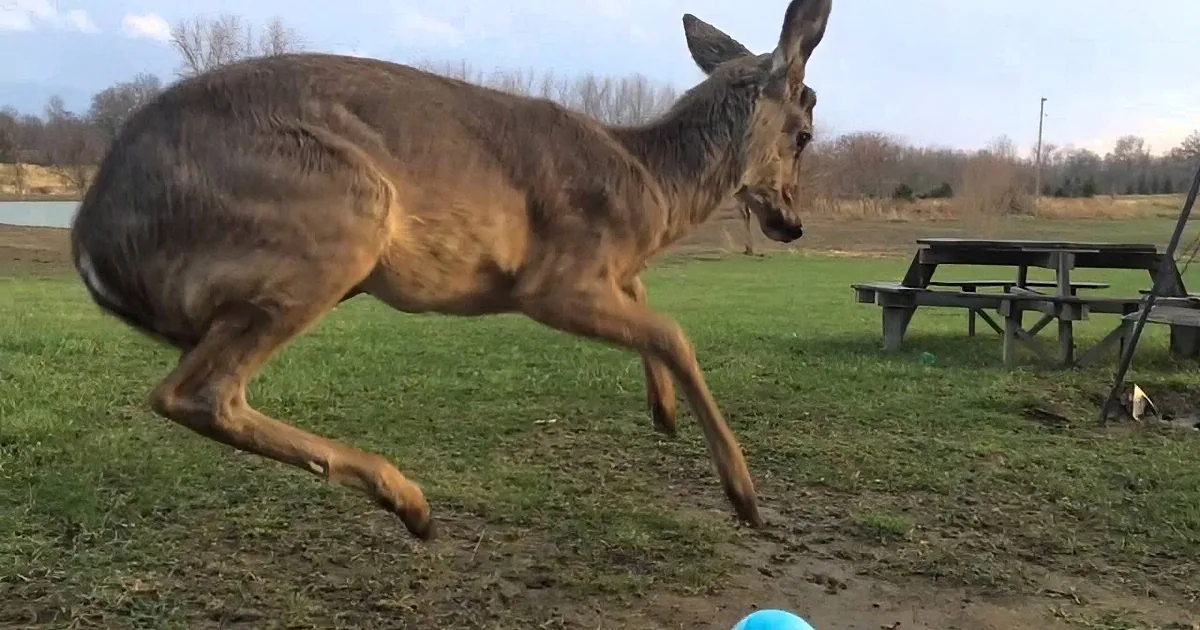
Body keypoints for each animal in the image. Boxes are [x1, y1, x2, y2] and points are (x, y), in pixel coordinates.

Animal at [69, 0, 832, 541]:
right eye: (804, 132)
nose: (791, 224)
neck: (653, 186)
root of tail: (89, 241)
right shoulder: (549, 277)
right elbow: (672, 330)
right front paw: (746, 497)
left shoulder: (599, 270)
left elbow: (647, 301)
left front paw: (663, 411)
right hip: (337, 218)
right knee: (196, 392)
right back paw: (410, 501)